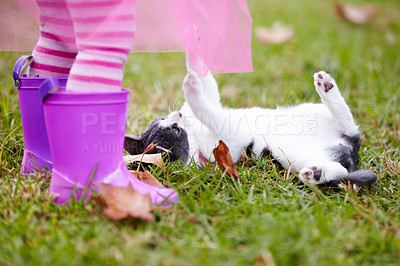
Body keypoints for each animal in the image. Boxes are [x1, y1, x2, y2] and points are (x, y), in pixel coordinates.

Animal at [126, 67, 378, 186]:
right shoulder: (230, 139)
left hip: (311, 112)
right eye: (176, 131)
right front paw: (191, 89)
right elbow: (210, 112)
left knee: (347, 124)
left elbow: (209, 88)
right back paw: (315, 174)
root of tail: (352, 149)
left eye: (163, 119)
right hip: (293, 155)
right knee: (341, 167)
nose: (177, 115)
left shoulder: (214, 103)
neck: (196, 136)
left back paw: (326, 86)